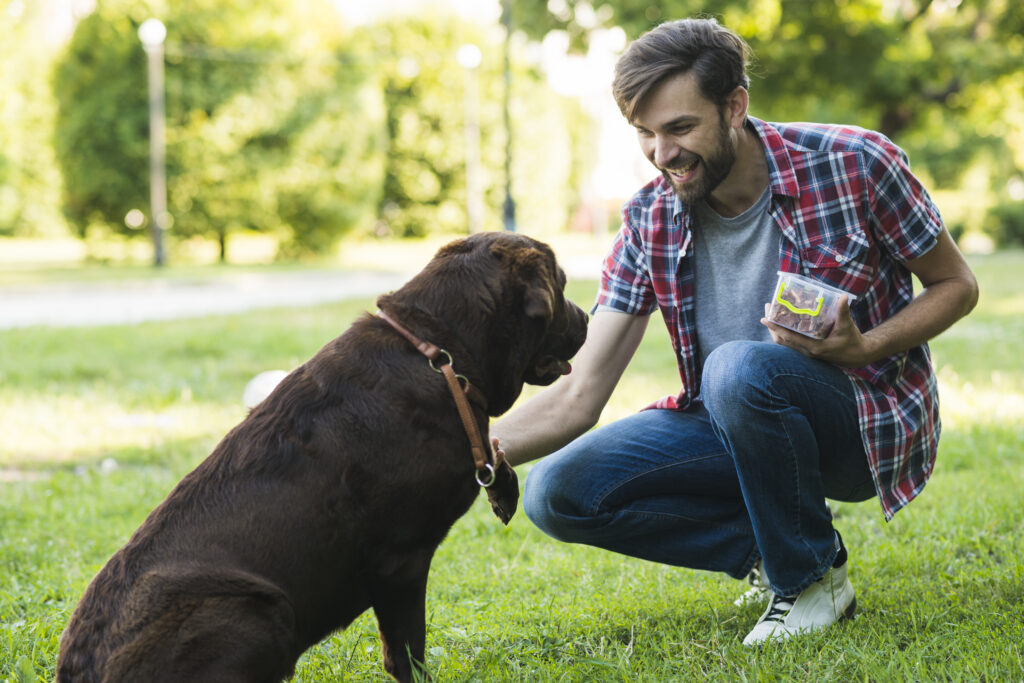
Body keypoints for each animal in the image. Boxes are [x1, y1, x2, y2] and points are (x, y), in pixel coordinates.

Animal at [58, 232, 585, 679]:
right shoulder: (400, 560)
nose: (585, 316)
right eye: (561, 283)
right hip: (258, 608)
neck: (438, 353)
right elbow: (406, 654)